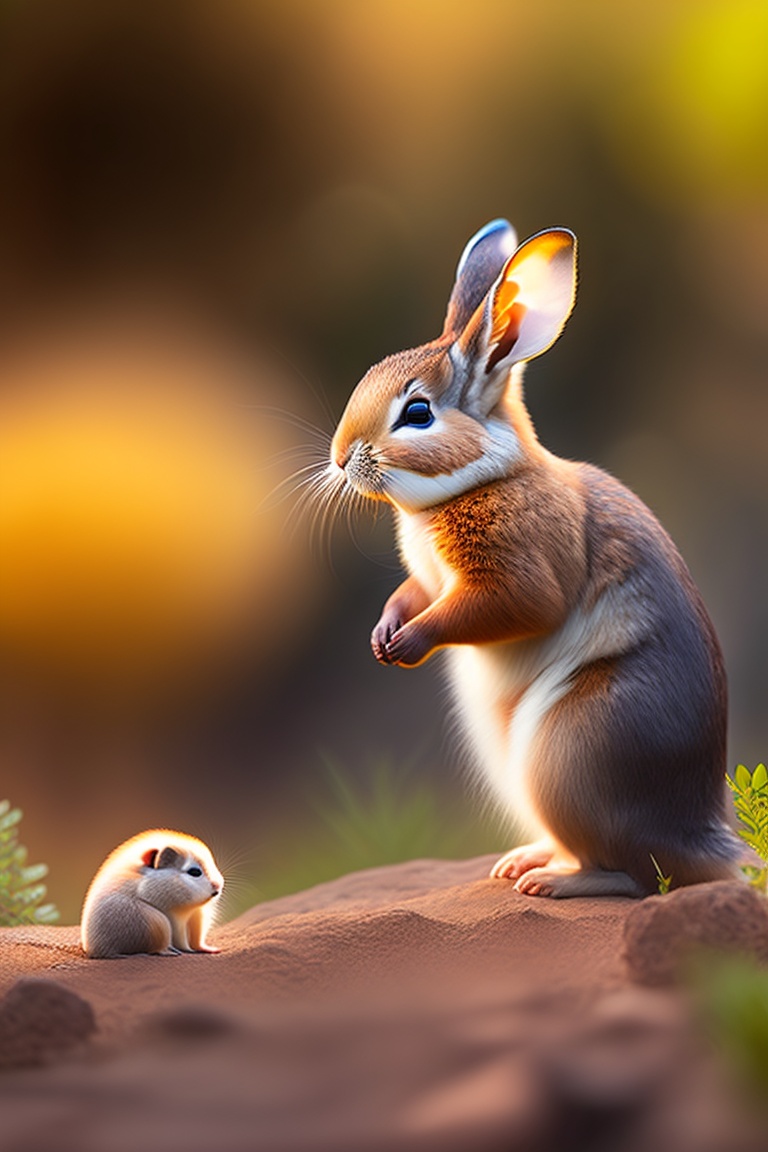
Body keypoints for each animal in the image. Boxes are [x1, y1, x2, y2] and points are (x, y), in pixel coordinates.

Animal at [328, 218, 739, 898]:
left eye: (417, 412)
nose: (339, 458)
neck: (484, 477)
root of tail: (705, 841)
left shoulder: (515, 577)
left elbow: (494, 609)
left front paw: (408, 645)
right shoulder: (429, 580)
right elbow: (411, 596)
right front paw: (383, 636)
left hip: (569, 752)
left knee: (635, 875)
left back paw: (551, 882)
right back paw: (521, 861)